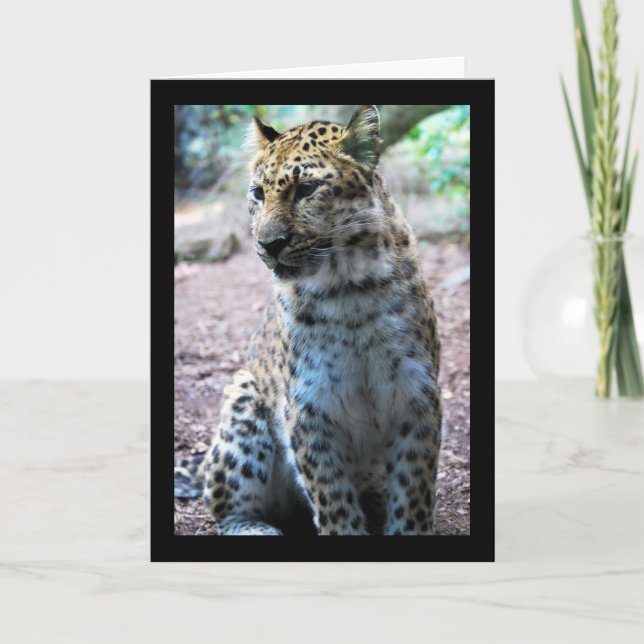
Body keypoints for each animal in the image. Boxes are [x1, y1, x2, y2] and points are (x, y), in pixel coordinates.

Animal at [193, 105, 442, 535]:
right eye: (258, 194)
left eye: (306, 190)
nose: (268, 244)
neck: (350, 290)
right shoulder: (309, 411)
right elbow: (334, 505)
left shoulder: (417, 398)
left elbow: (412, 498)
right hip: (242, 407)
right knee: (224, 508)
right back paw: (260, 530)